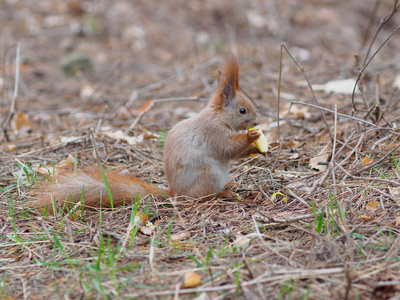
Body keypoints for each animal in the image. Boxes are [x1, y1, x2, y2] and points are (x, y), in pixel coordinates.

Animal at [31, 55, 262, 209]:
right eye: (242, 110)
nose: (257, 122)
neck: (219, 117)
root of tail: (175, 194)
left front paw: (255, 149)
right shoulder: (213, 132)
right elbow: (227, 147)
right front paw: (251, 137)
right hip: (207, 176)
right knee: (201, 198)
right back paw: (222, 195)